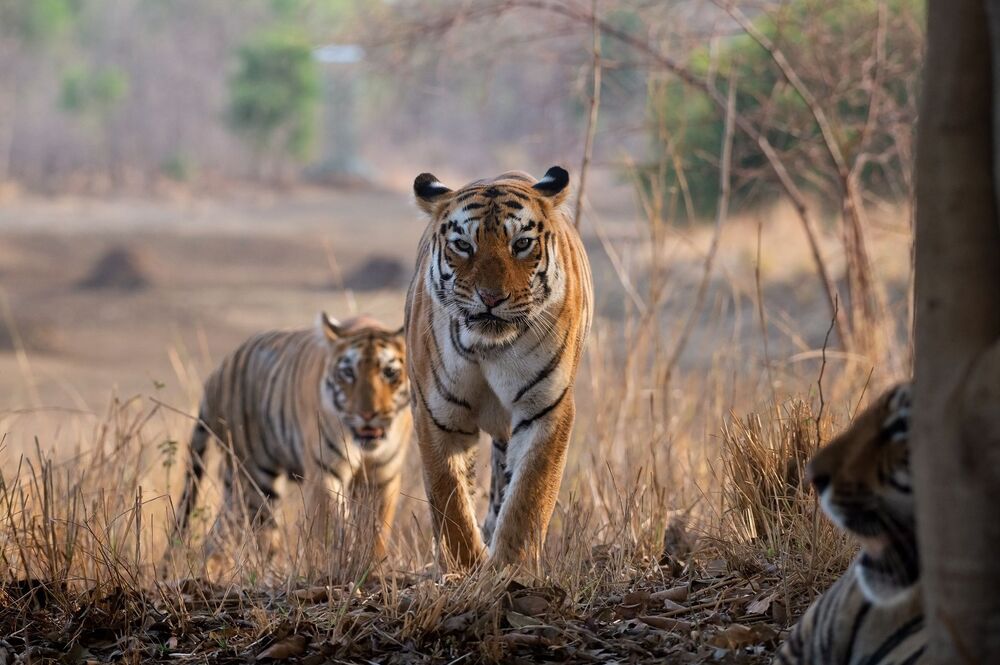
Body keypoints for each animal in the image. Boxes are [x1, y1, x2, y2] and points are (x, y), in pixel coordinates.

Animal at [170, 313, 411, 562]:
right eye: (348, 373)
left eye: (389, 372)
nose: (367, 414)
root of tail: (215, 376)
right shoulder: (325, 474)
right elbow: (331, 530)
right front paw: (332, 565)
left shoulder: (383, 478)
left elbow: (376, 533)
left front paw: (372, 565)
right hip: (255, 481)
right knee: (258, 536)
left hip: (235, 485)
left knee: (217, 538)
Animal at [403, 166, 593, 570]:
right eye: (463, 245)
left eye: (521, 244)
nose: (491, 298)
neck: (488, 348)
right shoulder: (437, 414)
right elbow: (450, 500)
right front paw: (465, 567)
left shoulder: (545, 409)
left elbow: (529, 495)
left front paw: (510, 567)